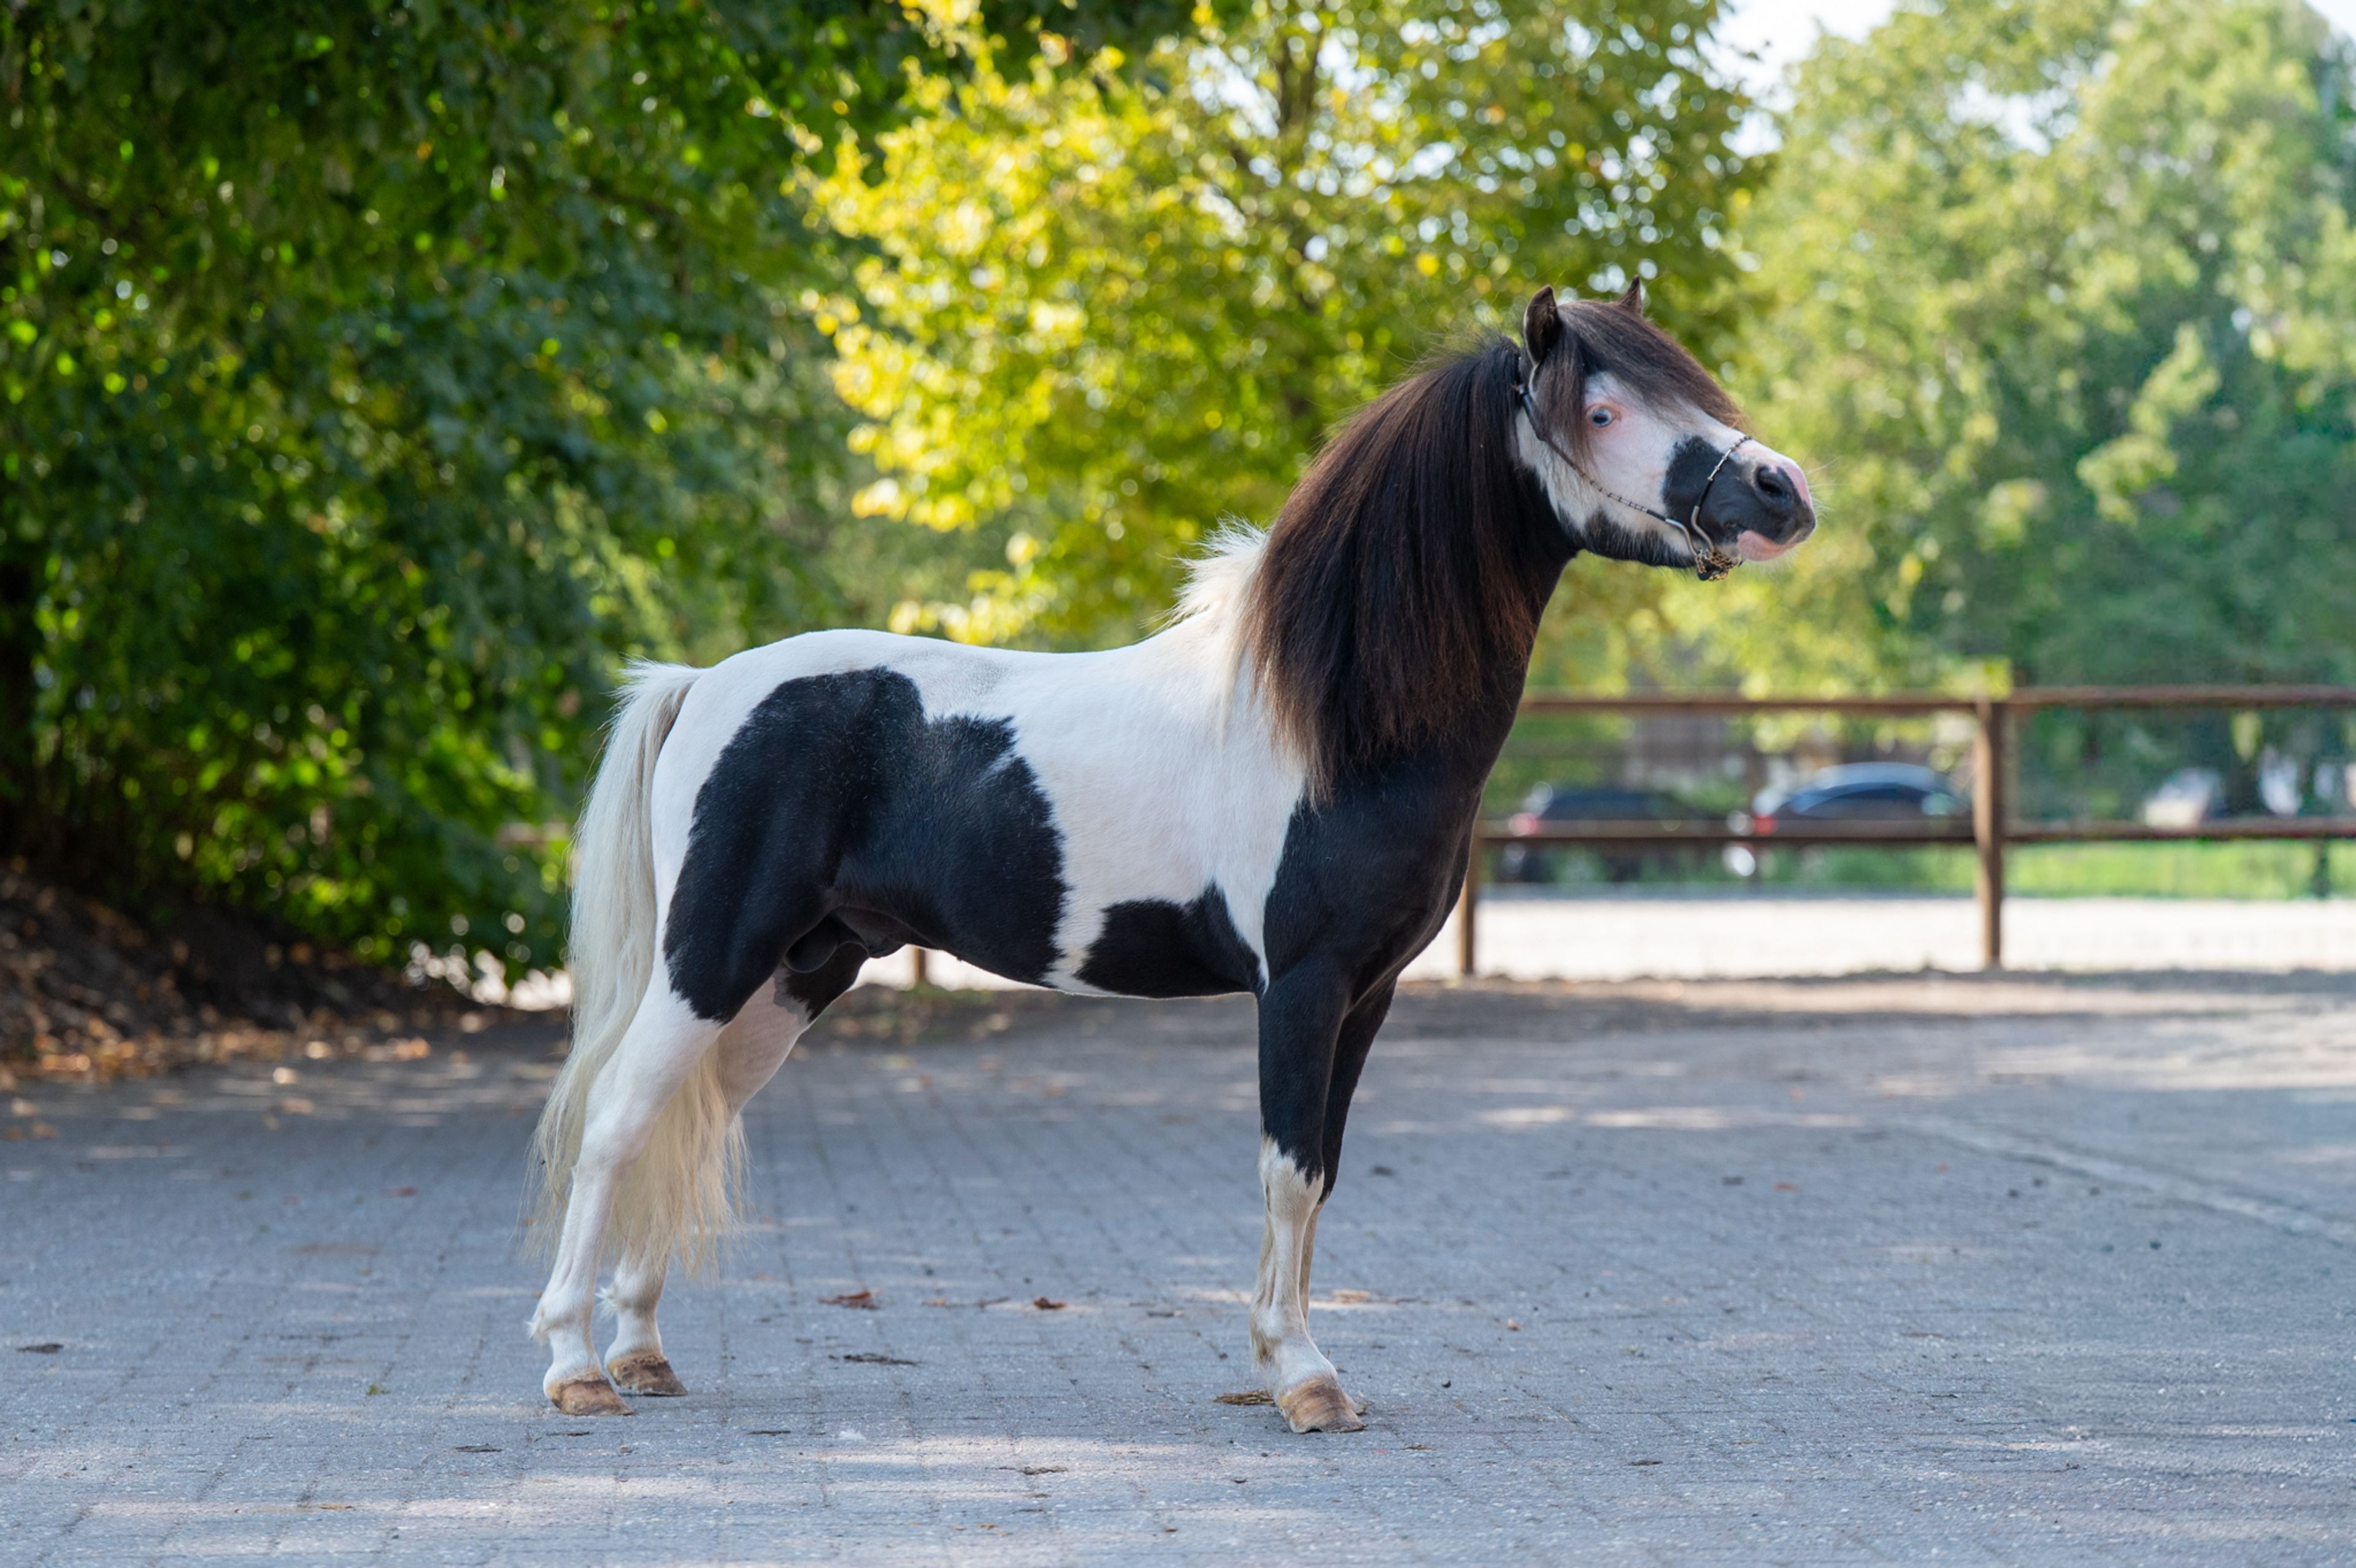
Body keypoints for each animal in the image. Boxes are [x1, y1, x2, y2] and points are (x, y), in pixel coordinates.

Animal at [524, 283, 1816, 1431]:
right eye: (1602, 410)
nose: (1782, 491)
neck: (1334, 723)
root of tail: (703, 684)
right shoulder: (1300, 988)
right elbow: (1286, 1170)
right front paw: (1303, 1379)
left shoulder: (1370, 995)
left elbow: (1321, 1171)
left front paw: (1289, 1360)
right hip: (711, 957)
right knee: (619, 1117)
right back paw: (576, 1366)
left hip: (794, 976)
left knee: (687, 1119)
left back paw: (641, 1351)